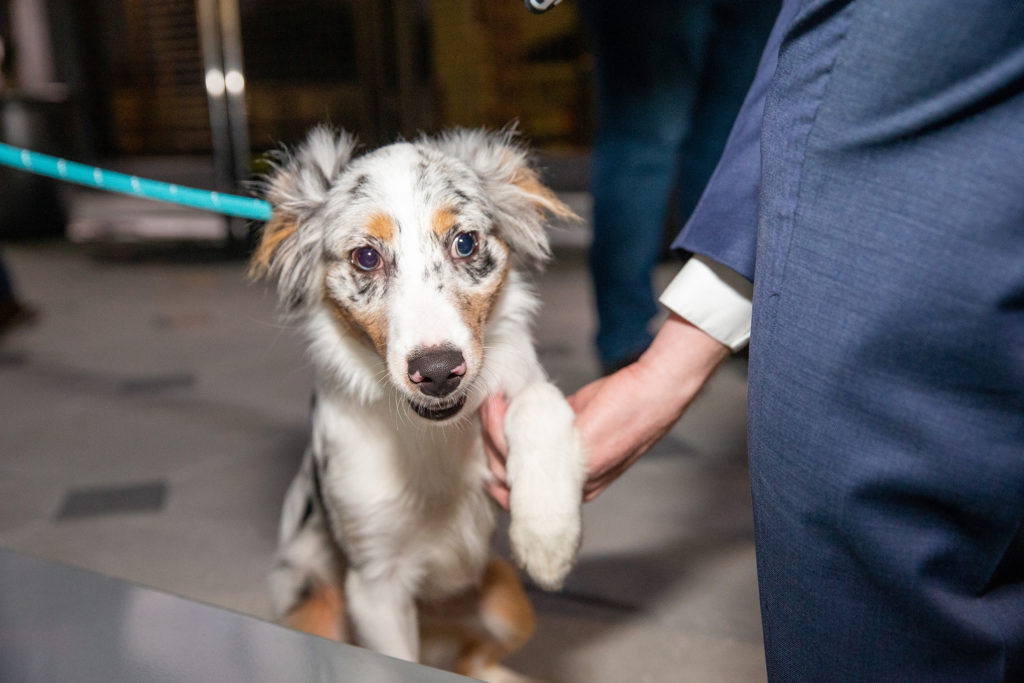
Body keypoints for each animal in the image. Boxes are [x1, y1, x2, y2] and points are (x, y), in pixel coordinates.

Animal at [250, 127, 587, 681]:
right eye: (366, 257)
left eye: (465, 243)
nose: (437, 371)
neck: (430, 435)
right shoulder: (375, 586)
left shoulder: (518, 383)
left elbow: (539, 400)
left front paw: (547, 534)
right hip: (314, 604)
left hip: (505, 598)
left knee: (477, 657)